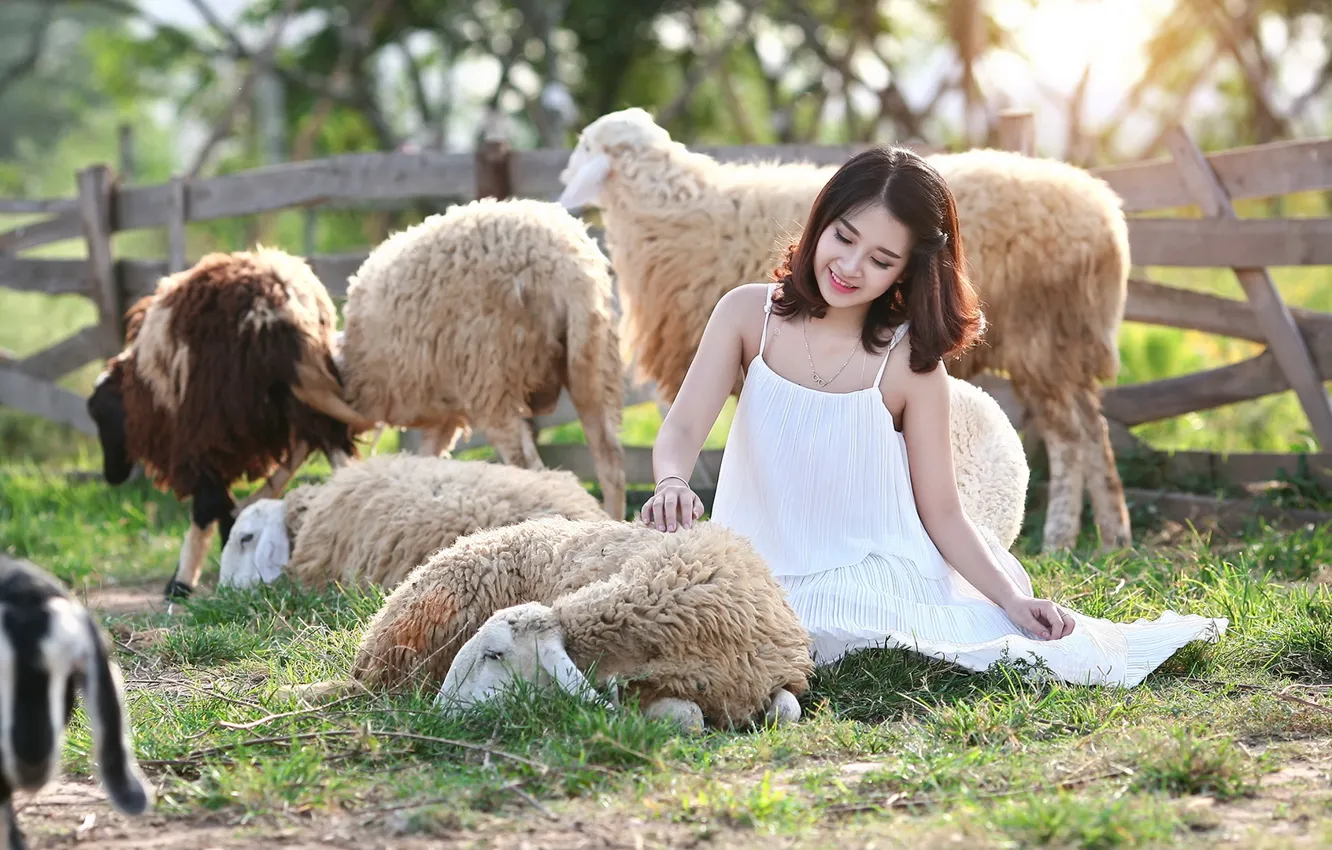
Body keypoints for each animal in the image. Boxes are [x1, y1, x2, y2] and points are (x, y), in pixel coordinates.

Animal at [86, 247, 368, 600]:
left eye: (99, 415)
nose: (111, 476)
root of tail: (278, 303)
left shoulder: (197, 433)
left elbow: (211, 502)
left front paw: (187, 581)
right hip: (301, 399)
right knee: (337, 456)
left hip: (217, 415)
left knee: (207, 502)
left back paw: (181, 582)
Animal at [301, 197, 627, 522]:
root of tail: (565, 267)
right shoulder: (443, 415)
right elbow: (426, 460)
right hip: (593, 359)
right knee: (609, 460)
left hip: (491, 373)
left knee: (525, 464)